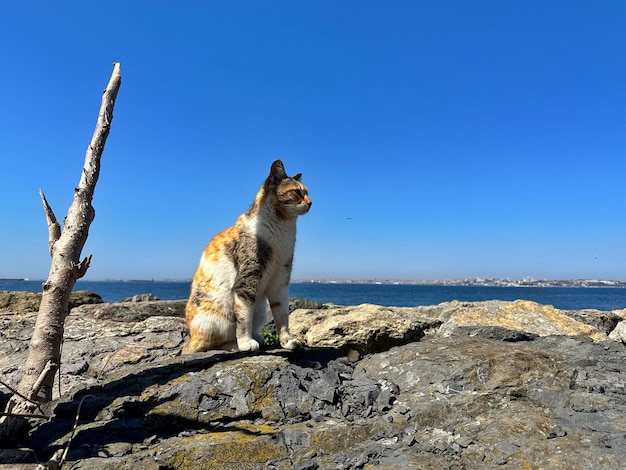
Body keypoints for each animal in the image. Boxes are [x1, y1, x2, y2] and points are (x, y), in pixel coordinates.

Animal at [183, 160, 312, 354]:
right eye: (297, 192)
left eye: (308, 192)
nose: (311, 203)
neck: (283, 229)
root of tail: (190, 337)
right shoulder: (246, 280)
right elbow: (243, 318)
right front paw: (245, 342)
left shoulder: (281, 280)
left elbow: (282, 316)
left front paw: (287, 341)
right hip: (216, 317)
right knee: (207, 345)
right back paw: (235, 345)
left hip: (260, 310)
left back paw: (258, 337)